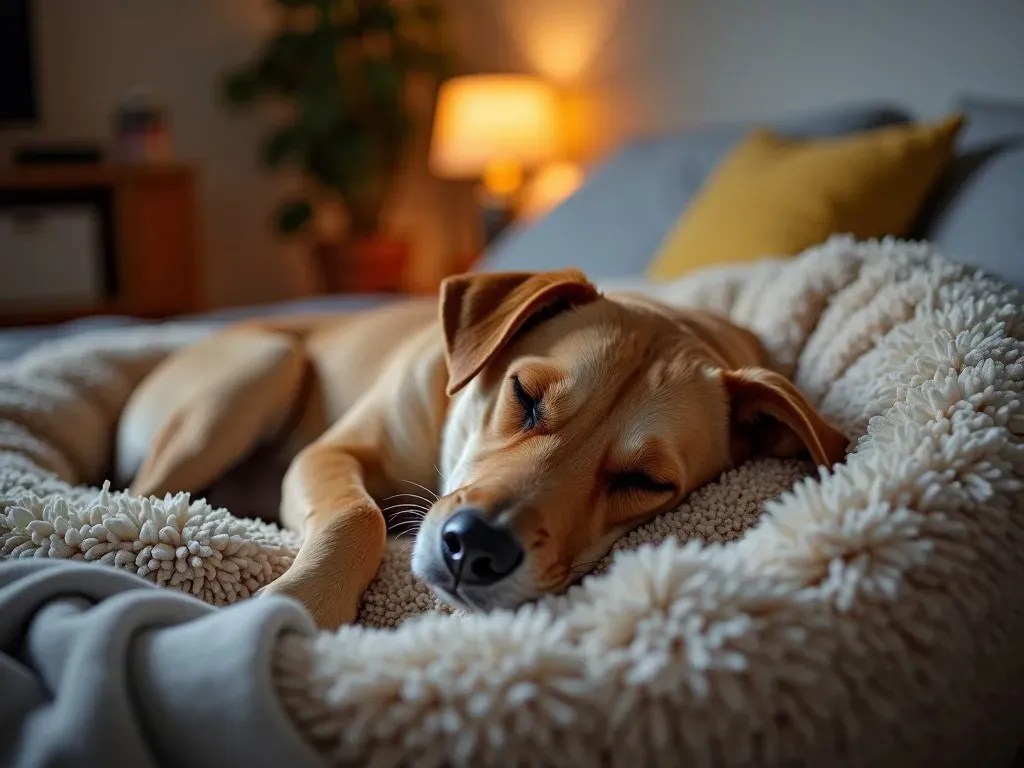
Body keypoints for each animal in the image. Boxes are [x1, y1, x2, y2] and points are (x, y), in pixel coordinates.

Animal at [117, 270, 847, 630]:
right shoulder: (329, 454)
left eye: (645, 480)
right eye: (524, 394)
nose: (475, 548)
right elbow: (360, 515)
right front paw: (302, 600)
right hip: (260, 366)